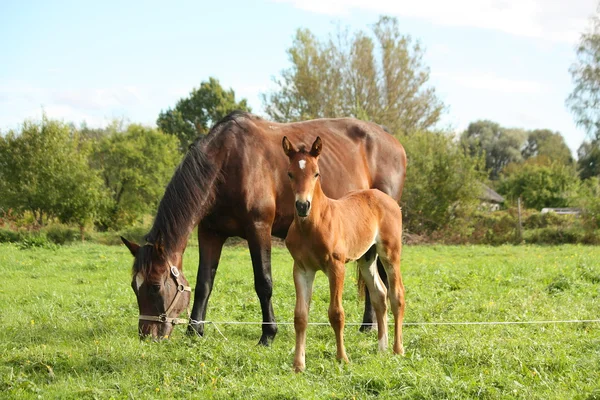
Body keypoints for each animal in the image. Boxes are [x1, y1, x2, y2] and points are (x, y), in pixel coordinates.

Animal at [120, 111, 406, 342]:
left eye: (155, 286)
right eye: (134, 286)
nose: (147, 335)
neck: (228, 161)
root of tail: (391, 139)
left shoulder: (258, 229)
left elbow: (263, 282)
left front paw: (268, 333)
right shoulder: (210, 232)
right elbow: (204, 283)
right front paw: (195, 331)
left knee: (380, 272)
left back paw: (372, 326)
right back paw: (369, 325)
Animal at [282, 137, 406, 372]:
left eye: (316, 173)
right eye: (290, 174)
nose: (302, 206)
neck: (312, 226)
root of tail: (386, 199)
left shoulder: (336, 266)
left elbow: (336, 313)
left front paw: (342, 358)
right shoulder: (301, 269)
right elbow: (300, 316)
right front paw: (298, 365)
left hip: (390, 253)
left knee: (397, 295)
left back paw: (398, 349)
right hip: (367, 258)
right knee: (380, 294)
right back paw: (381, 348)